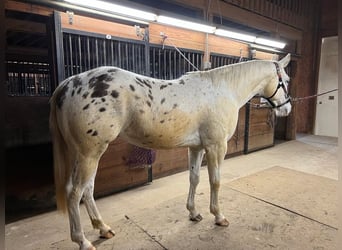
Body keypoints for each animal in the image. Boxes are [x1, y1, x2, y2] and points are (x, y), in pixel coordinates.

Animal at [48, 53, 292, 249]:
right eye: (287, 81)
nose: (287, 109)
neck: (223, 90)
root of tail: (68, 84)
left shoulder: (196, 147)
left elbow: (194, 178)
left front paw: (194, 213)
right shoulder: (216, 146)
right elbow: (215, 181)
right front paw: (219, 216)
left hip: (86, 154)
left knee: (87, 190)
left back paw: (103, 228)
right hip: (89, 153)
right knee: (74, 192)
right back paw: (82, 241)